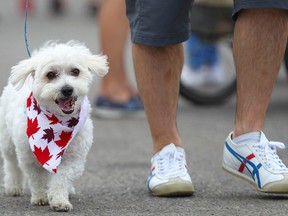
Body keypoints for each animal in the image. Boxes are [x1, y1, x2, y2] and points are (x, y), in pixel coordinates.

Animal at [0, 41, 108, 212]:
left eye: (75, 71)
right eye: (50, 75)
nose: (67, 89)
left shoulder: (73, 159)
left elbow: (61, 179)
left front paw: (59, 200)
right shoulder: (29, 157)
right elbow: (37, 179)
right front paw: (40, 197)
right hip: (7, 142)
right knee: (11, 163)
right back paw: (13, 186)